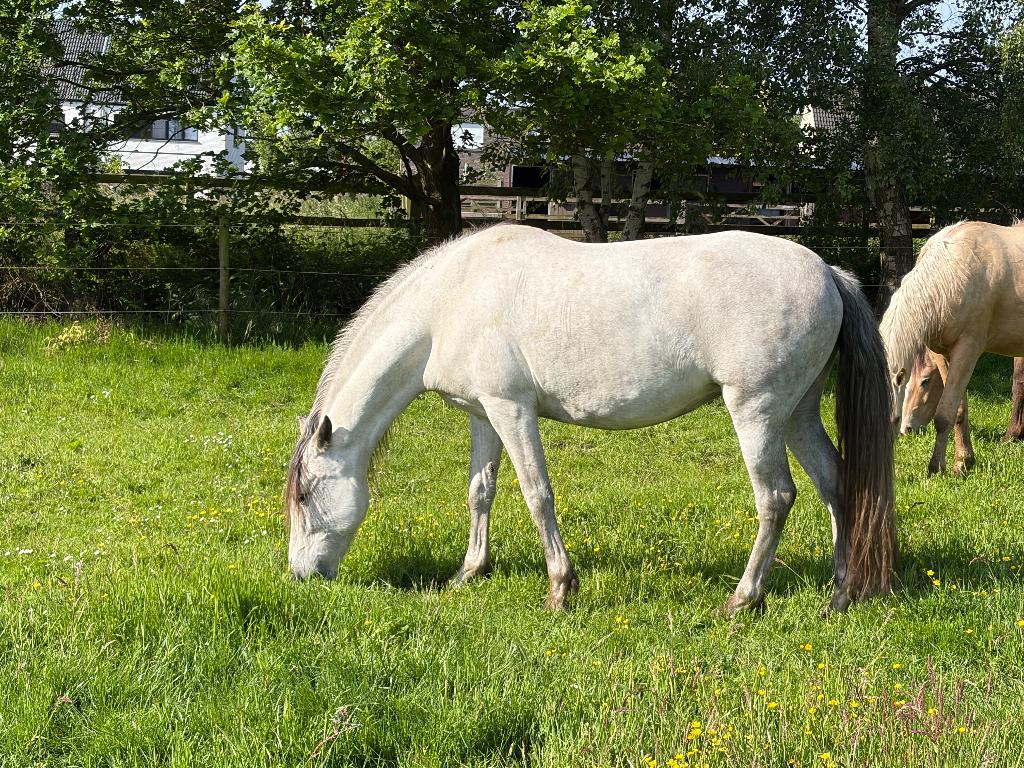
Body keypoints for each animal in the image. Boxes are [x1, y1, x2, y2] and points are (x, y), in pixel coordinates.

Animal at [285, 224, 896, 616]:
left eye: (305, 495)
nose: (301, 576)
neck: (449, 302)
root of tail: (827, 271)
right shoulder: (483, 414)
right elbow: (480, 492)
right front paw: (469, 572)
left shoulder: (511, 409)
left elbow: (537, 494)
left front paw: (560, 588)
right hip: (798, 413)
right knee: (838, 485)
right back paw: (841, 594)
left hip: (758, 411)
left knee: (776, 498)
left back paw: (743, 599)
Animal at [881, 221, 1024, 475]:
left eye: (925, 382)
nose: (906, 429)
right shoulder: (943, 353)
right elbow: (959, 410)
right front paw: (963, 461)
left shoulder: (967, 350)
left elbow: (945, 413)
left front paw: (937, 467)